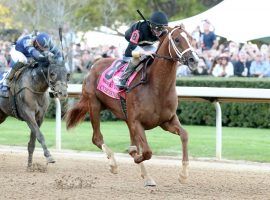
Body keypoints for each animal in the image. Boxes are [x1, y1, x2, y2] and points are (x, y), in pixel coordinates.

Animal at [66, 26, 199, 186]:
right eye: (177, 39)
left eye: (191, 39)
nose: (194, 60)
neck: (156, 87)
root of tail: (94, 64)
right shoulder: (137, 122)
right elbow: (146, 152)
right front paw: (134, 156)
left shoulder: (167, 121)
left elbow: (184, 135)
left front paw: (184, 174)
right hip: (94, 105)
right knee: (97, 138)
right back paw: (113, 164)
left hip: (123, 116)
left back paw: (146, 176)